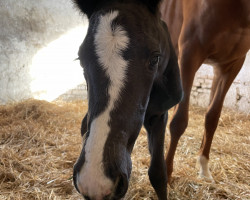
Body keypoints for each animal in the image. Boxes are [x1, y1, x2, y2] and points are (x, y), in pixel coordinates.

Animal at [161, 0, 249, 181]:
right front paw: (167, 172)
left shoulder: (231, 65)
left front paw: (203, 166)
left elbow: (212, 117)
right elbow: (178, 121)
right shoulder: (189, 54)